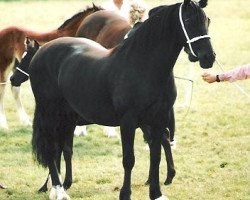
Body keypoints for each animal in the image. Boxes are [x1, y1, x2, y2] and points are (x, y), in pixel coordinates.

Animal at [20, 0, 215, 199]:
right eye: (188, 20)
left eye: (207, 20)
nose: (208, 57)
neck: (143, 67)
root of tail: (42, 52)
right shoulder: (128, 122)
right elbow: (129, 160)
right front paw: (125, 194)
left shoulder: (158, 119)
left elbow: (156, 155)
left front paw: (156, 193)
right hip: (50, 114)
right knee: (51, 149)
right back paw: (58, 190)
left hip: (67, 117)